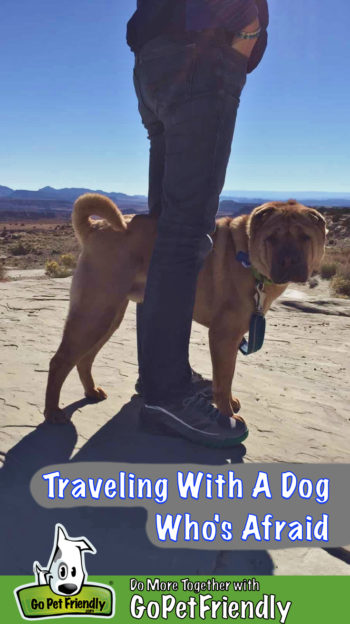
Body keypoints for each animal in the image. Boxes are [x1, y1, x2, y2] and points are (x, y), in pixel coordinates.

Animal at [43, 195, 326, 424]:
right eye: (271, 238)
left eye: (305, 237)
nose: (289, 261)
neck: (247, 254)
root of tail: (95, 228)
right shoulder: (223, 336)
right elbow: (224, 380)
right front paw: (226, 414)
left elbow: (227, 378)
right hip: (95, 311)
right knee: (60, 361)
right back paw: (53, 412)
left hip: (109, 315)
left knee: (84, 358)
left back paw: (91, 392)